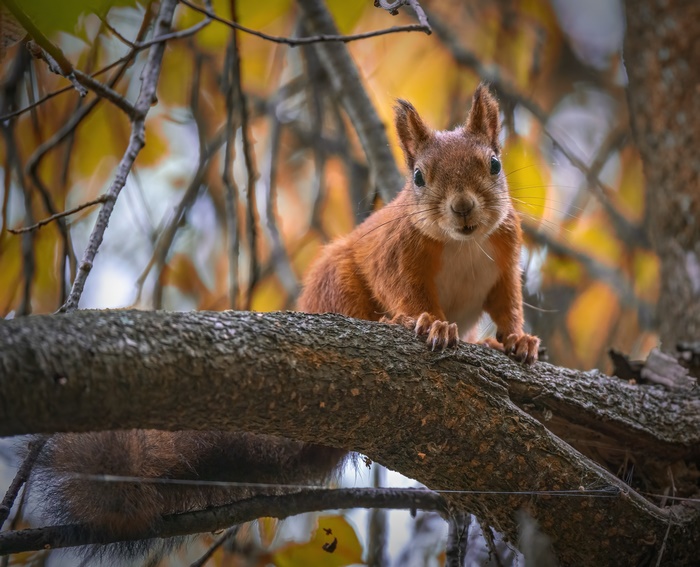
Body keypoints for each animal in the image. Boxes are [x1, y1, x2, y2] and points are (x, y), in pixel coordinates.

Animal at [28, 83, 537, 562]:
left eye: (494, 164)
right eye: (418, 177)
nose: (463, 207)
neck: (462, 243)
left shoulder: (505, 256)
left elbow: (507, 303)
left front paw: (516, 341)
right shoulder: (396, 254)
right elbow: (405, 293)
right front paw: (430, 323)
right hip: (335, 283)